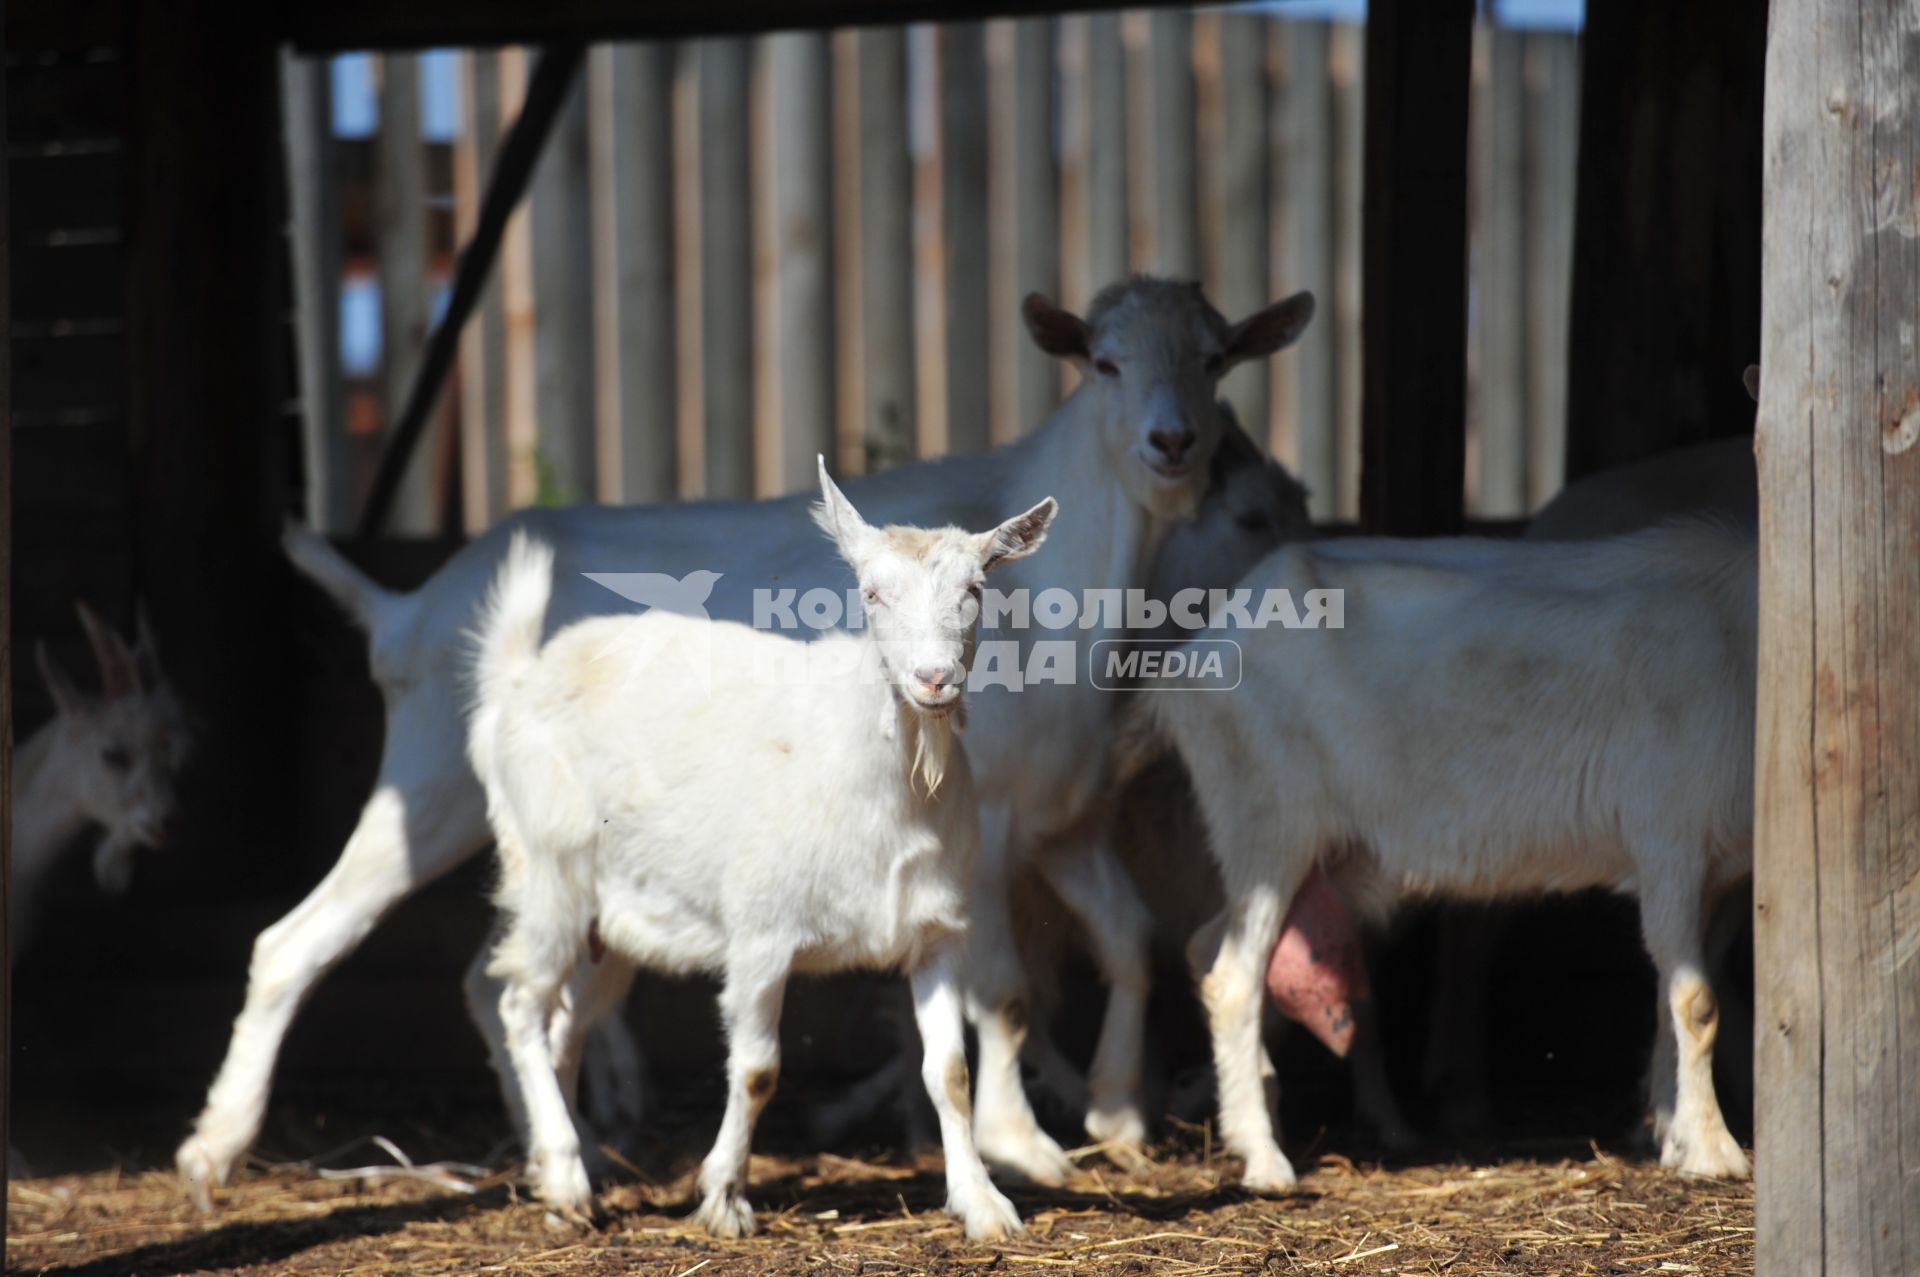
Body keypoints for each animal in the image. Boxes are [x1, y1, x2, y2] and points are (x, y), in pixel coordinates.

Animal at [470, 462, 1059, 1236]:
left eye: (976, 589)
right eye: (872, 591)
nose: (933, 679)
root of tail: (517, 681)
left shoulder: (937, 933)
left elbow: (950, 1073)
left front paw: (984, 1204)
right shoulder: (761, 932)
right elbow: (756, 1068)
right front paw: (723, 1196)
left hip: (612, 921)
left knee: (562, 1024)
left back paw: (566, 1166)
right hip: (549, 871)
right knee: (519, 1004)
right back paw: (567, 1178)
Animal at [1144, 514, 1758, 1182]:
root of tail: (1198, 652)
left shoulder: (1721, 878)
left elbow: (1675, 996)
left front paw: (1669, 1134)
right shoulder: (1670, 843)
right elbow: (1697, 1002)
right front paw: (1714, 1151)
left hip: (1314, 857)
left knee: (1207, 949)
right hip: (1267, 823)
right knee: (1233, 977)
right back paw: (1263, 1159)